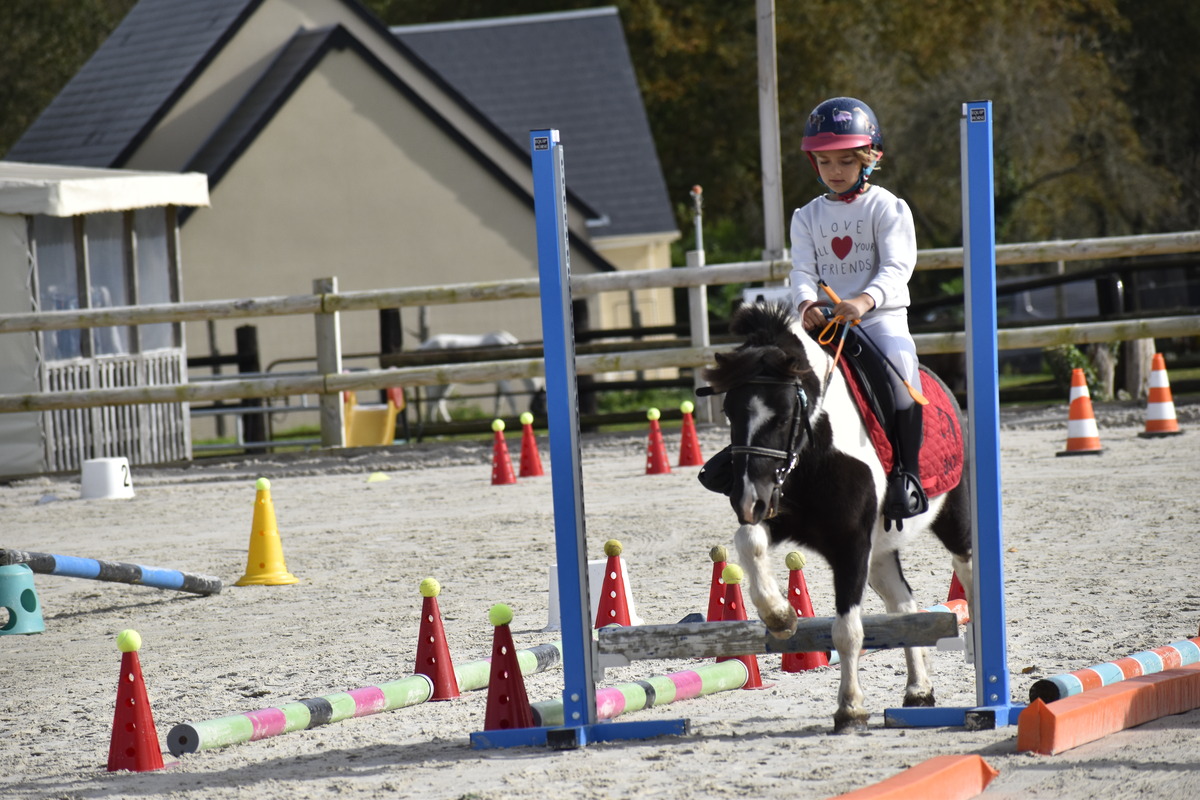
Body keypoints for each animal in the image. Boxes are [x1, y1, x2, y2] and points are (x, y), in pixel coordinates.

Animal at [700, 303, 974, 734]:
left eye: (783, 416)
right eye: (729, 412)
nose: (746, 500)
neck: (814, 453)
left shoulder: (851, 545)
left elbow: (847, 631)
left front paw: (850, 709)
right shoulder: (782, 516)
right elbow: (749, 540)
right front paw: (780, 616)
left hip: (952, 522)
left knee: (968, 574)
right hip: (880, 554)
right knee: (904, 607)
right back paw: (918, 690)